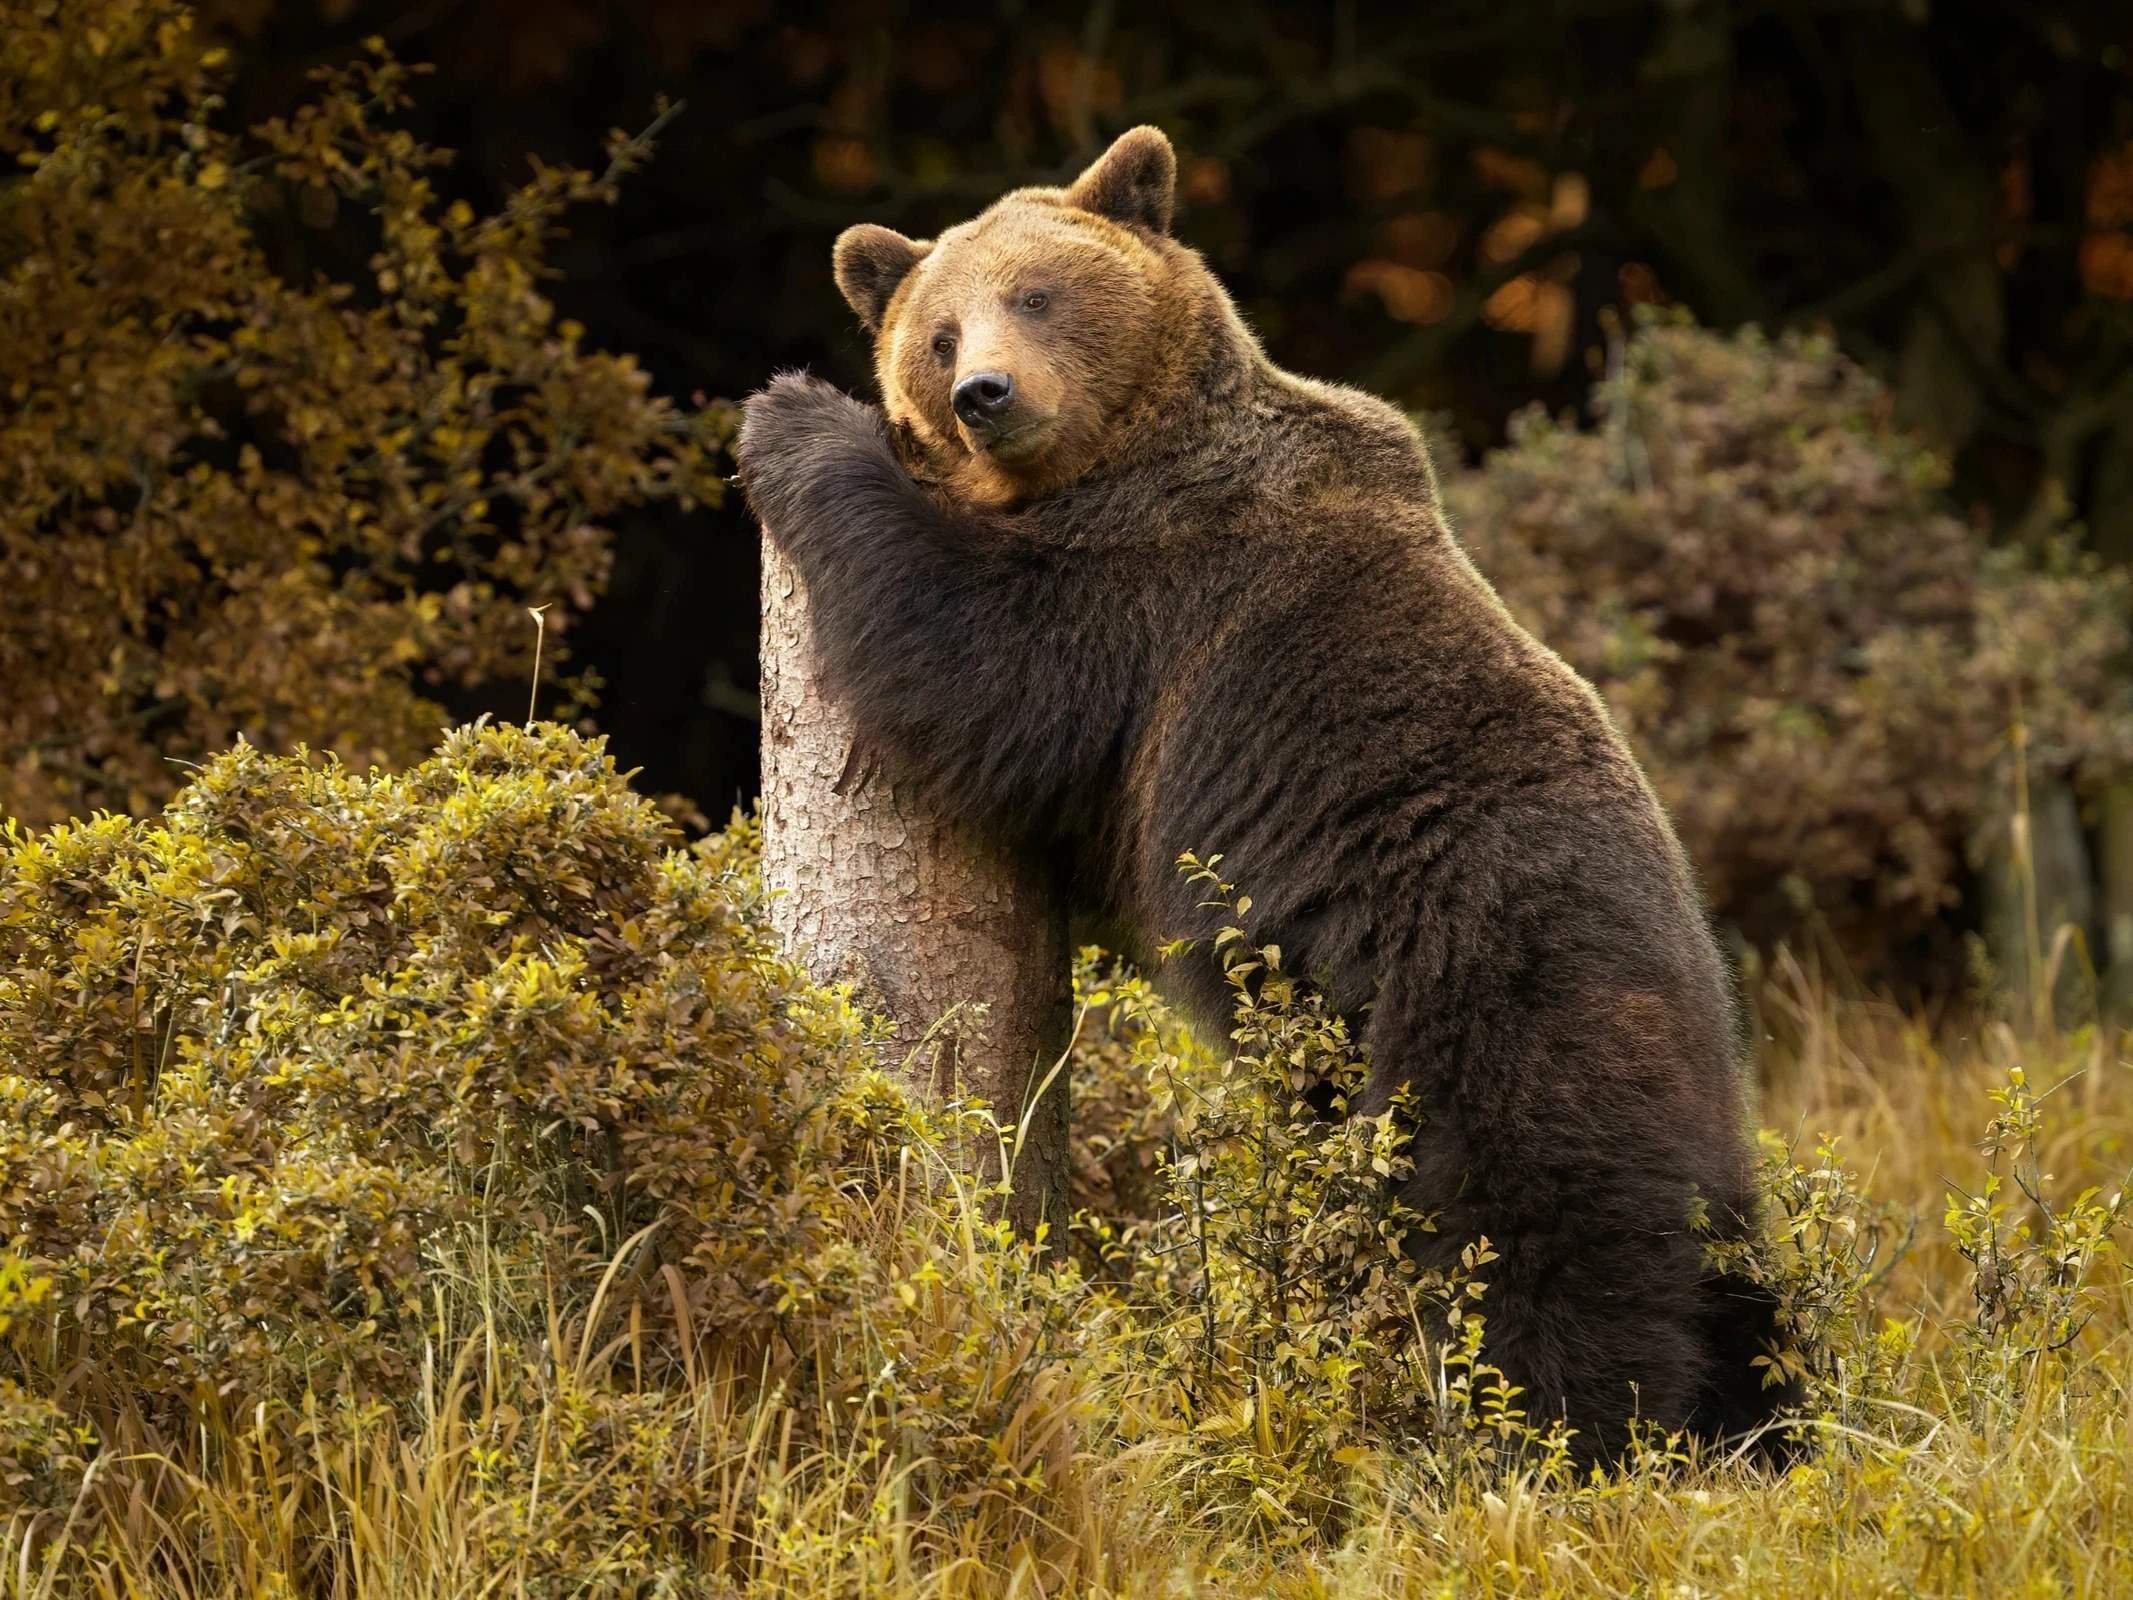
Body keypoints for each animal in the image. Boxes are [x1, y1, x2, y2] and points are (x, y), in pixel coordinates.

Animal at [738, 131, 1800, 1476]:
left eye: (1037, 294)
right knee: (1732, 1275)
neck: (1118, 460)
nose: (986, 394)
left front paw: (792, 416)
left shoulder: (1153, 592)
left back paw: (1568, 1438)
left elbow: (971, 656)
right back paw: (1761, 1415)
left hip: (1488, 1015)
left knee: (1542, 1249)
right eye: (937, 331)